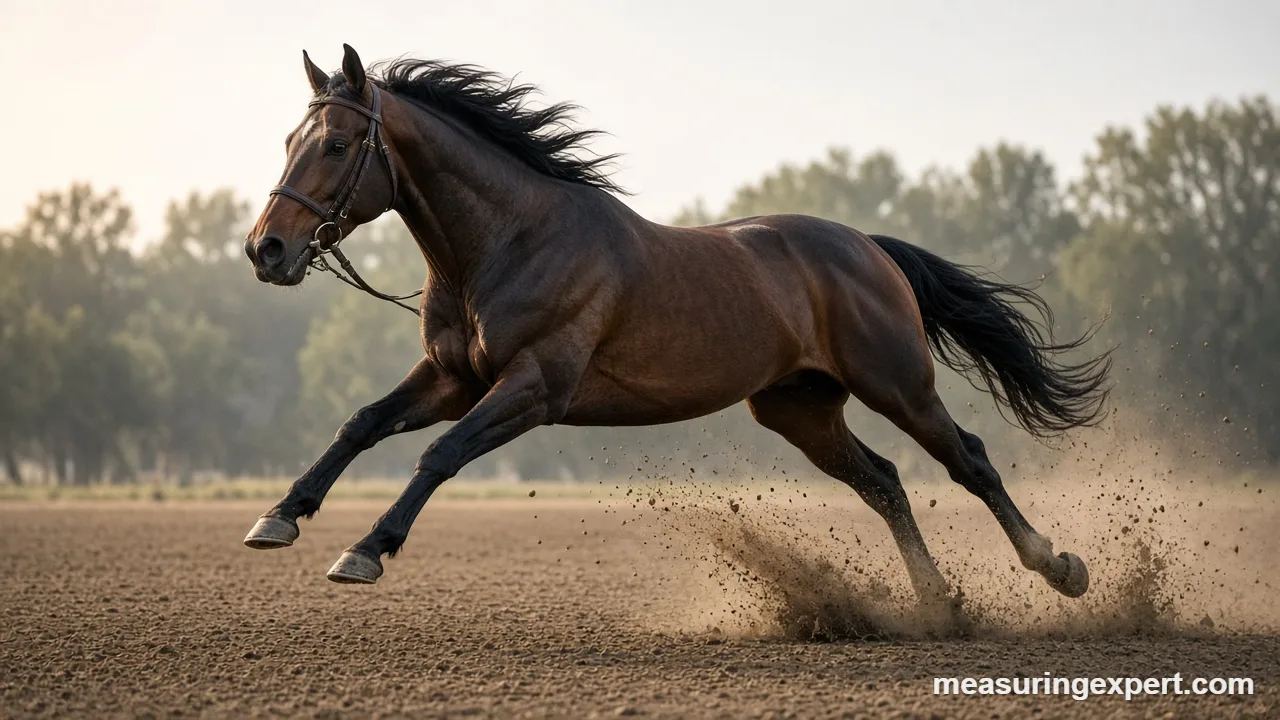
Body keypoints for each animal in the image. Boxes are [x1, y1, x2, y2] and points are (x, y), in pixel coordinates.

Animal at [241, 44, 1111, 608]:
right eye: (288, 140)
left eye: (338, 143)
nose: (266, 249)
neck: (508, 243)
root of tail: (868, 247)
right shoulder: (453, 378)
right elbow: (361, 425)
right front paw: (279, 517)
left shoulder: (533, 388)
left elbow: (439, 454)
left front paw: (364, 551)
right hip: (799, 408)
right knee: (886, 482)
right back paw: (937, 603)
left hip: (897, 385)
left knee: (970, 462)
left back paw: (1060, 569)